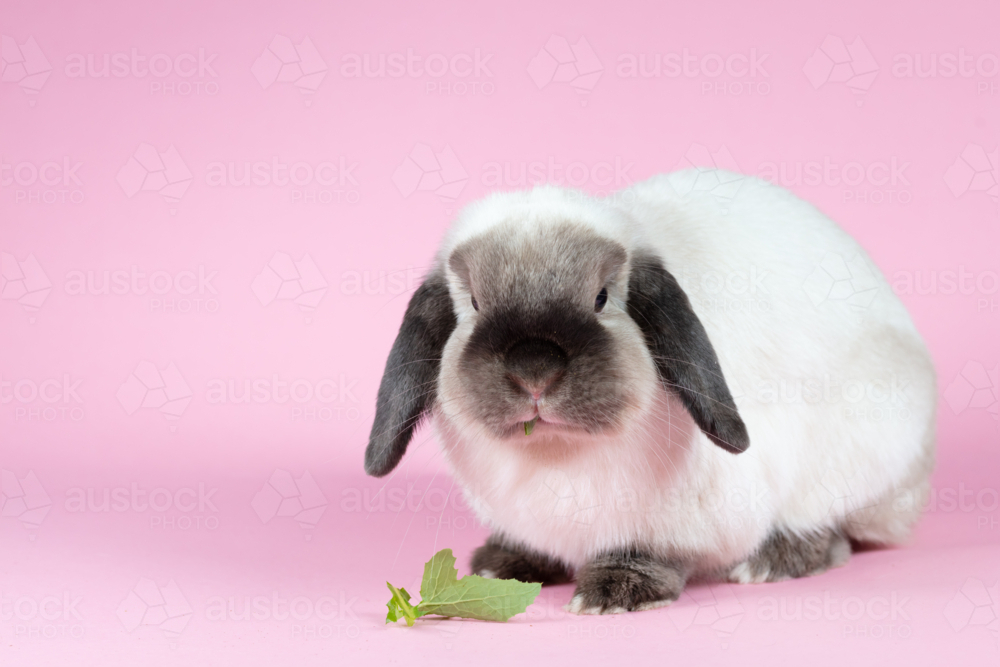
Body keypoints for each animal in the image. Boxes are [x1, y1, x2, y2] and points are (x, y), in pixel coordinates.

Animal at [365, 169, 936, 615]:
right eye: (475, 304)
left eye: (602, 298)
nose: (534, 369)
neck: (556, 453)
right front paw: (500, 566)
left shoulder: (678, 521)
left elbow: (652, 553)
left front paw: (614, 592)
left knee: (831, 535)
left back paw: (769, 563)